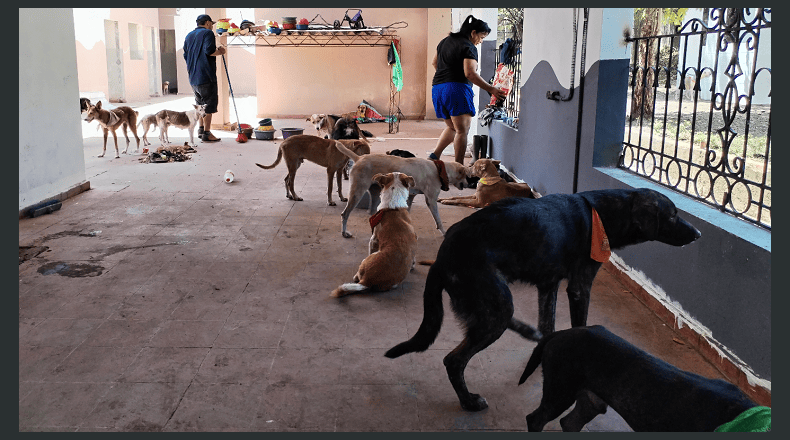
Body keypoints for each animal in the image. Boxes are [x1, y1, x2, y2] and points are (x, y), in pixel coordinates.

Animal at [330, 170, 420, 298]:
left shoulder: (373, 239)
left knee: (356, 277)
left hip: (366, 261)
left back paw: (356, 277)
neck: (394, 207)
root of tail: (367, 282)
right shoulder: (415, 238)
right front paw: (413, 265)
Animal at [332, 140, 470, 237]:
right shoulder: (431, 200)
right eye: (466, 176)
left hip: (375, 193)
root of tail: (359, 158)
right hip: (357, 192)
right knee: (345, 214)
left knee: (372, 214)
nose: (468, 184)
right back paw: (344, 233)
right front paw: (444, 232)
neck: (439, 170)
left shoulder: (410, 197)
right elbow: (439, 221)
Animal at [386, 187, 704, 410]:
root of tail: (441, 258)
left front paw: (543, 354)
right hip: (496, 304)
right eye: (673, 215)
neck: (603, 213)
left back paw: (527, 332)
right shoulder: (579, 287)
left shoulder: (548, 285)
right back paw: (468, 402)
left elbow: (548, 326)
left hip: (494, 303)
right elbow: (579, 324)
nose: (699, 234)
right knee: (454, 360)